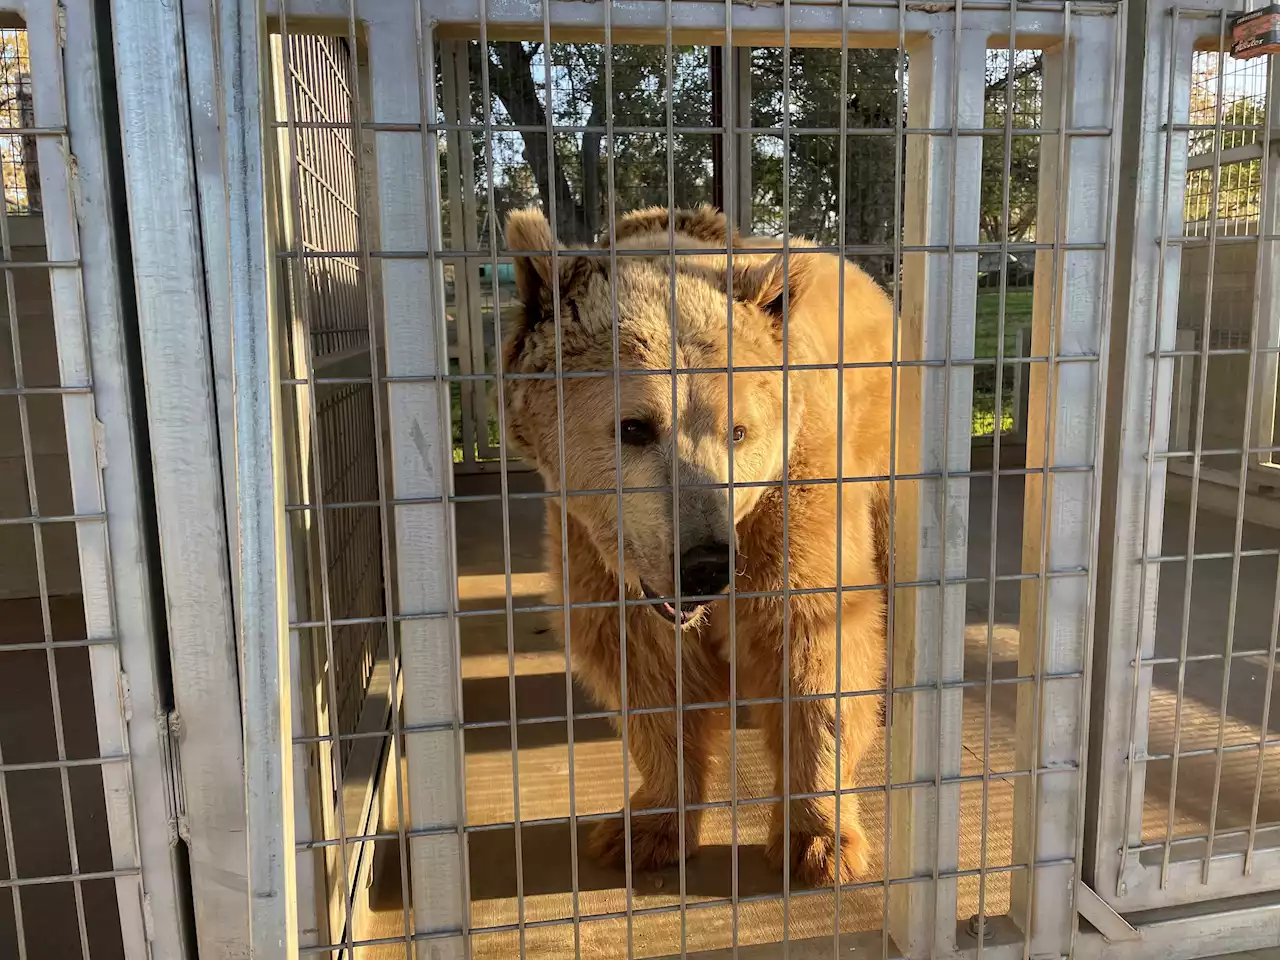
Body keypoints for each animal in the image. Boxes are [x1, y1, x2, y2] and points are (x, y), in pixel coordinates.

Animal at [499, 204, 890, 885]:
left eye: (738, 430)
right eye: (634, 427)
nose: (706, 564)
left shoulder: (793, 493)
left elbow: (815, 642)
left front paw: (818, 842)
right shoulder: (597, 544)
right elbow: (645, 669)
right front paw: (645, 829)